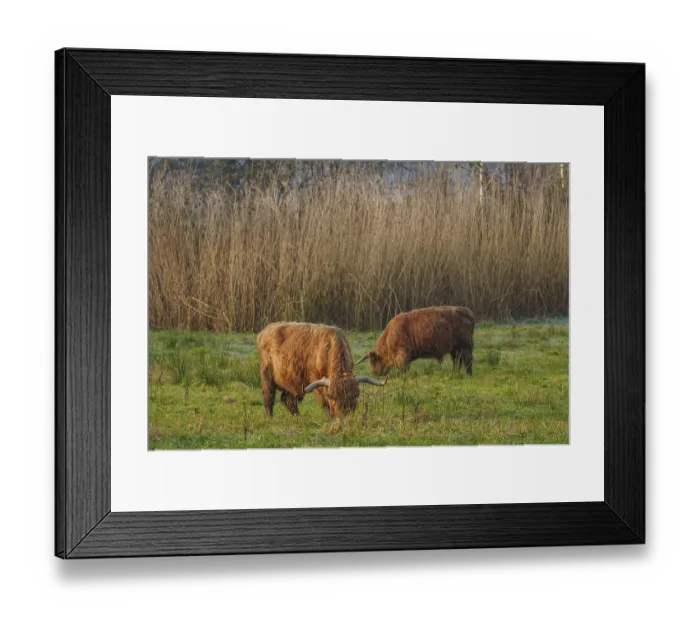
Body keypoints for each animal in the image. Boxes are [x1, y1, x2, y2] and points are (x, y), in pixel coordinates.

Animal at [256, 321, 386, 419]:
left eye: (354, 397)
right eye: (332, 397)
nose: (343, 415)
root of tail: (265, 330)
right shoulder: (317, 382)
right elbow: (324, 403)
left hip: (290, 380)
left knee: (288, 399)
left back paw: (298, 417)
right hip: (267, 374)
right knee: (269, 397)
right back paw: (270, 418)